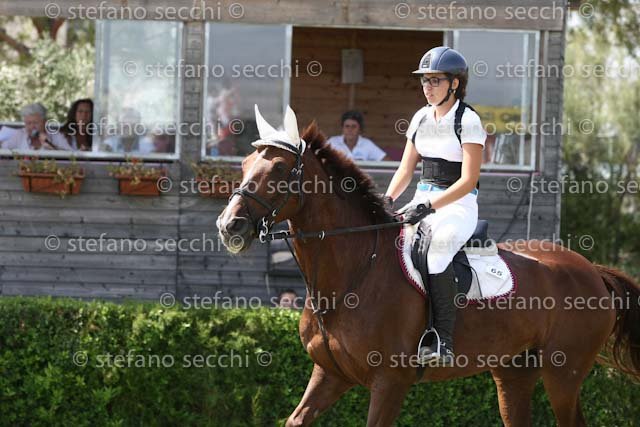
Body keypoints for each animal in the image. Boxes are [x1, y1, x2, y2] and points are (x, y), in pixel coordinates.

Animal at [217, 106, 640, 426]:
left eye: (278, 169)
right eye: (245, 164)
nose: (229, 226)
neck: (354, 274)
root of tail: (593, 271)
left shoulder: (390, 381)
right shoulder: (330, 375)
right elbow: (296, 419)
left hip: (562, 374)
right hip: (514, 372)